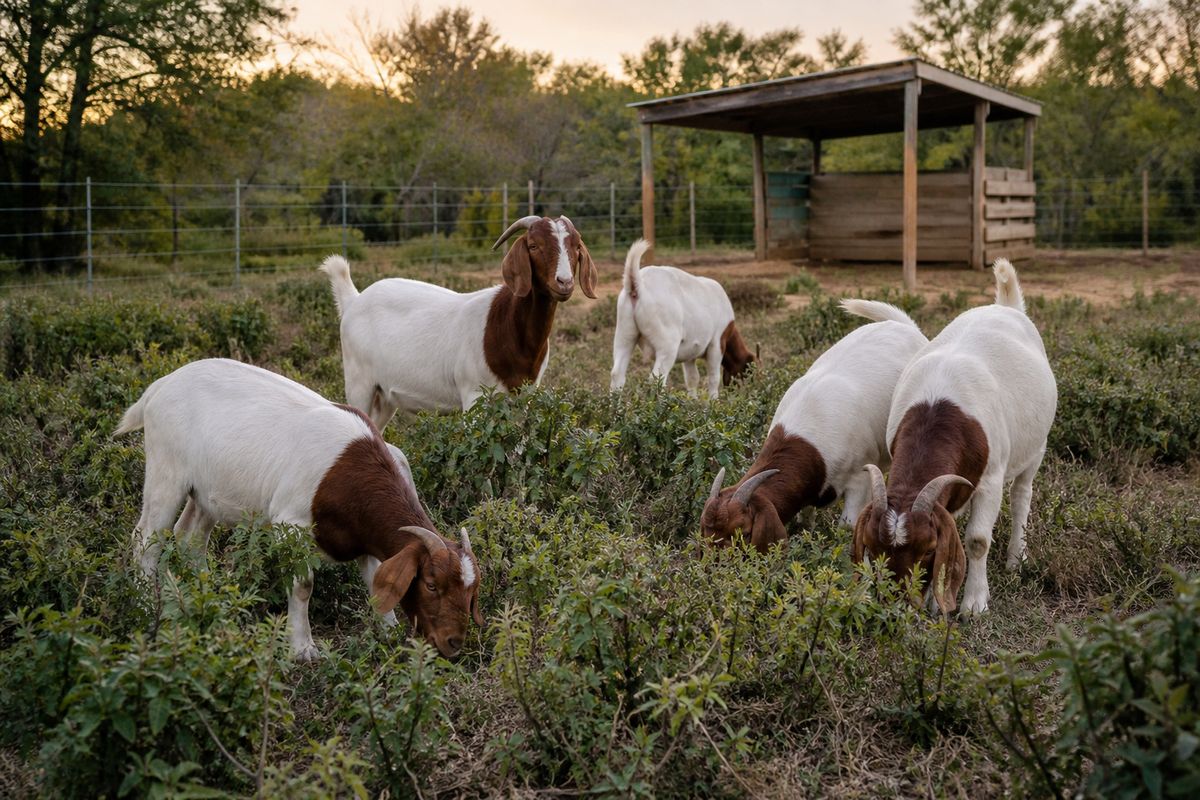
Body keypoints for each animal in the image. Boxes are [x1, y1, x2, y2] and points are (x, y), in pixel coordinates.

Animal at [115, 358, 484, 660]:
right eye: (431, 584)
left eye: (471, 590)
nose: (453, 643)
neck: (353, 470)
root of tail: (161, 385)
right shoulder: (290, 524)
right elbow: (303, 585)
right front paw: (303, 648)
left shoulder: (364, 535)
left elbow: (374, 578)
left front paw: (388, 630)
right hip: (166, 473)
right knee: (145, 540)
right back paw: (149, 607)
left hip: (208, 492)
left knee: (189, 538)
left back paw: (205, 595)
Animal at [321, 215, 597, 428]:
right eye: (533, 245)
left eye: (576, 247)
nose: (564, 282)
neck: (507, 327)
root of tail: (353, 300)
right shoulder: (474, 396)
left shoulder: (524, 400)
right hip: (359, 381)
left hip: (385, 397)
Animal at [610, 239, 754, 398]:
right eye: (747, 373)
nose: (746, 394)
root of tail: (638, 284)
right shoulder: (717, 343)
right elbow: (713, 378)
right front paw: (714, 401)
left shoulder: (690, 354)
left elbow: (692, 378)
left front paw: (693, 401)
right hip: (668, 344)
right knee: (657, 379)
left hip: (624, 333)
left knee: (617, 374)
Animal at [701, 300, 927, 551]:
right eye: (706, 533)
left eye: (746, 533)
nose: (717, 562)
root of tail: (906, 326)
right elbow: (805, 519)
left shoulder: (859, 478)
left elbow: (847, 526)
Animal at [853, 259, 1056, 616]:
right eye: (872, 547)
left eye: (928, 549)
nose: (896, 602)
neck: (938, 411)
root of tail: (1006, 306)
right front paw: (935, 600)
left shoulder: (990, 479)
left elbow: (977, 540)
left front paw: (974, 602)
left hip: (1036, 447)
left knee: (1022, 495)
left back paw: (1016, 559)